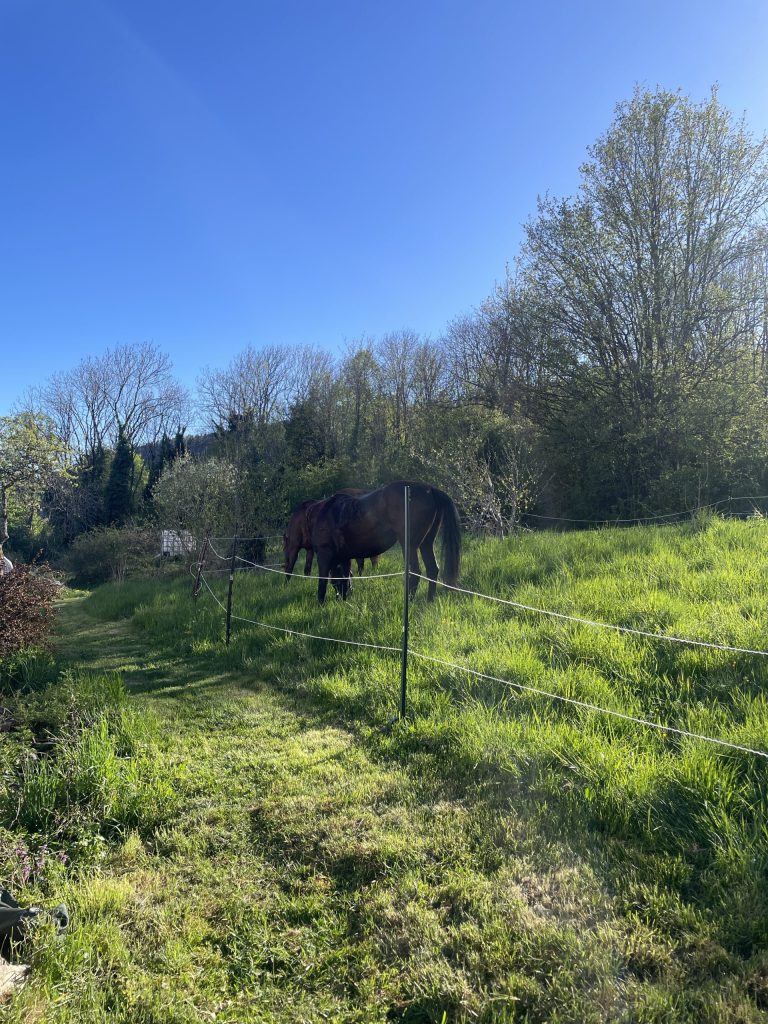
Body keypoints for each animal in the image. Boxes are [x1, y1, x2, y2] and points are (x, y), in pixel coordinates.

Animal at [308, 480, 461, 604]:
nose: (339, 597)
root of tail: (430, 489)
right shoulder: (345, 558)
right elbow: (345, 578)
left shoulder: (324, 555)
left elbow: (322, 582)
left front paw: (320, 603)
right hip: (426, 543)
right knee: (432, 569)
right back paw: (429, 600)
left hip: (409, 545)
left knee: (415, 571)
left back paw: (410, 601)